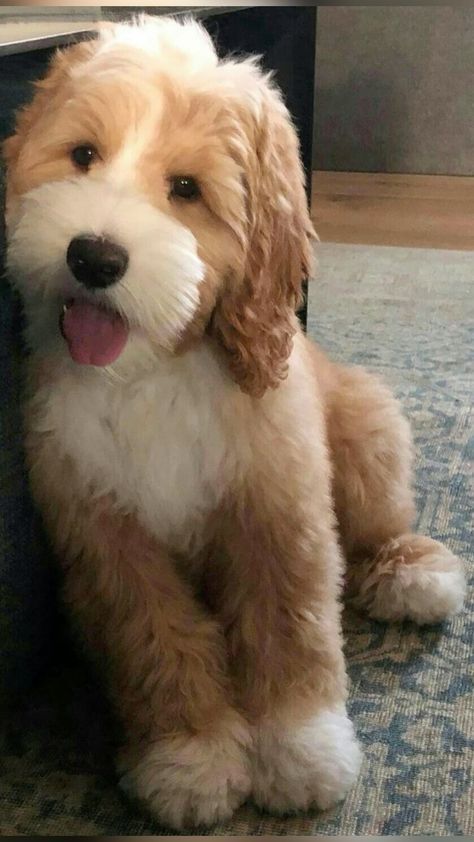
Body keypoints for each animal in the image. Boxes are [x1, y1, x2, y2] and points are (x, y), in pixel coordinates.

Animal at [1, 13, 464, 828]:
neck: (154, 369)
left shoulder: (277, 510)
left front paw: (302, 750)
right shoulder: (105, 536)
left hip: (369, 429)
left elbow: (290, 626)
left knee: (379, 526)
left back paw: (413, 572)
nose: (94, 256)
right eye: (83, 156)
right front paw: (191, 759)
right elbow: (154, 643)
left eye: (186, 189)